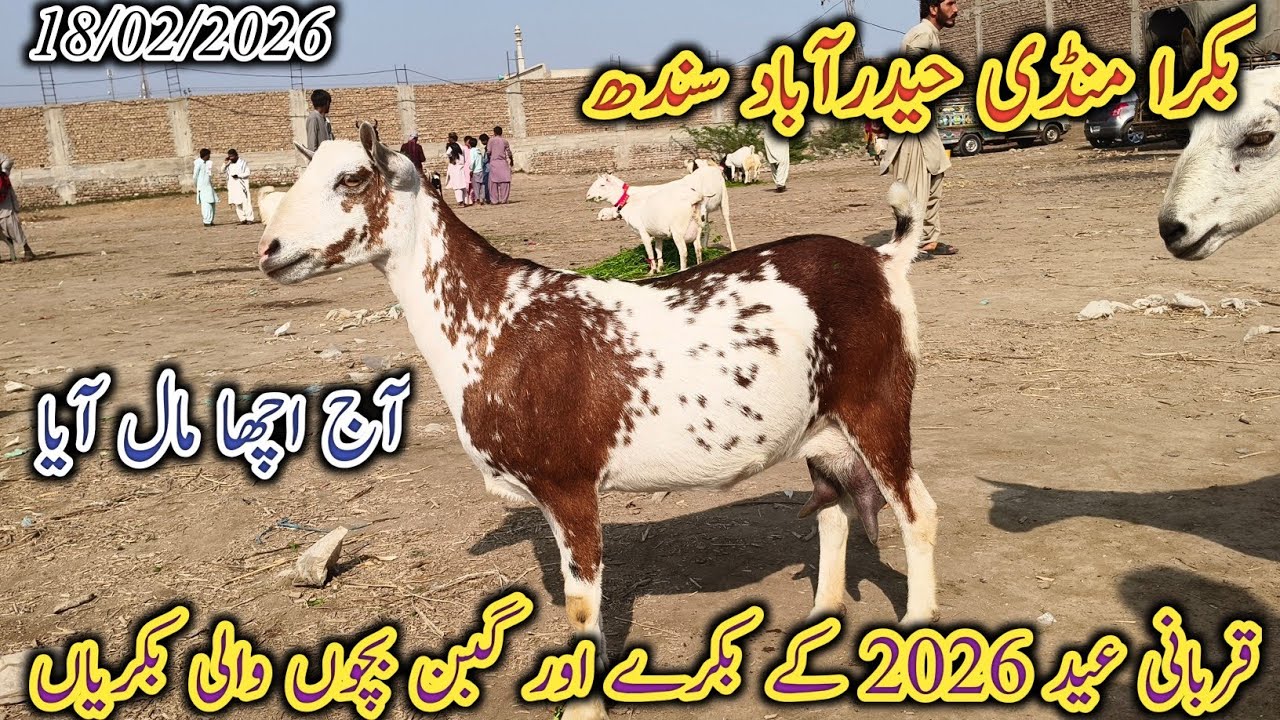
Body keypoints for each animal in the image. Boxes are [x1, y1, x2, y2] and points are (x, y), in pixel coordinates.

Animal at [259, 123, 938, 720]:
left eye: (351, 178)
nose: (270, 252)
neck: (493, 322)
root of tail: (884, 261)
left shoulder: (568, 484)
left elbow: (582, 609)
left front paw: (582, 707)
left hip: (877, 405)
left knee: (916, 513)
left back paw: (915, 637)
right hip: (822, 430)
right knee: (834, 512)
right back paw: (819, 624)